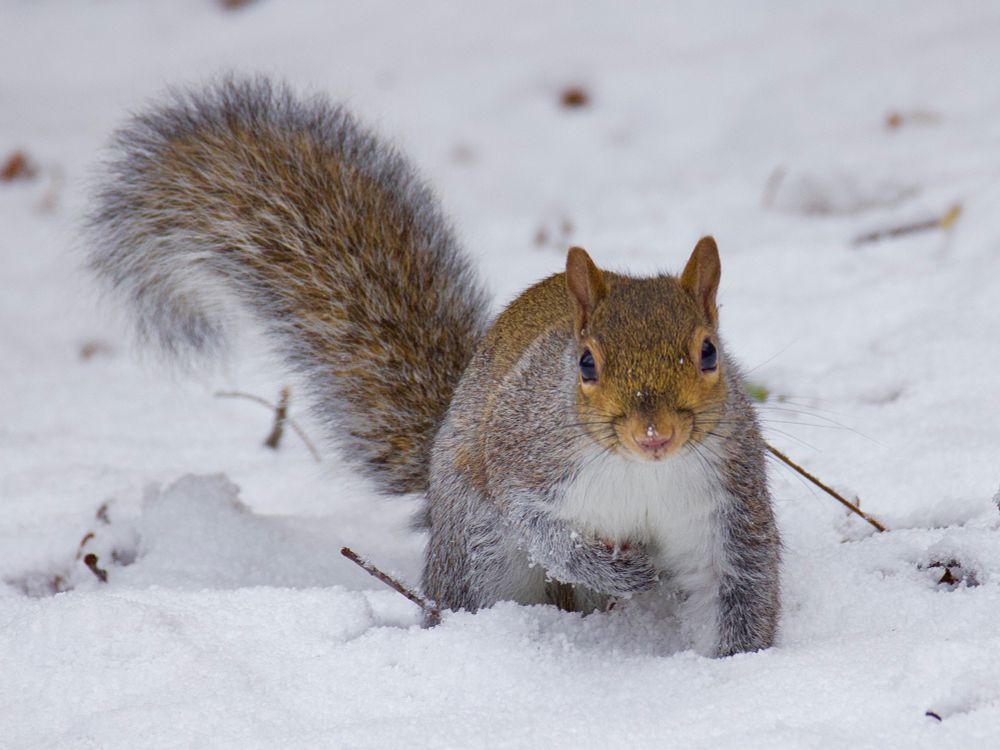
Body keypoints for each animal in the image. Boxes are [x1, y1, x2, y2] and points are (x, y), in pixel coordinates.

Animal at [86, 77, 780, 657]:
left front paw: (736, 671)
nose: (654, 434)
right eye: (586, 363)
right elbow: (544, 528)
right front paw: (619, 569)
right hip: (477, 546)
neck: (642, 473)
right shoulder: (526, 462)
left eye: (709, 352)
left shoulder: (728, 502)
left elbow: (740, 588)